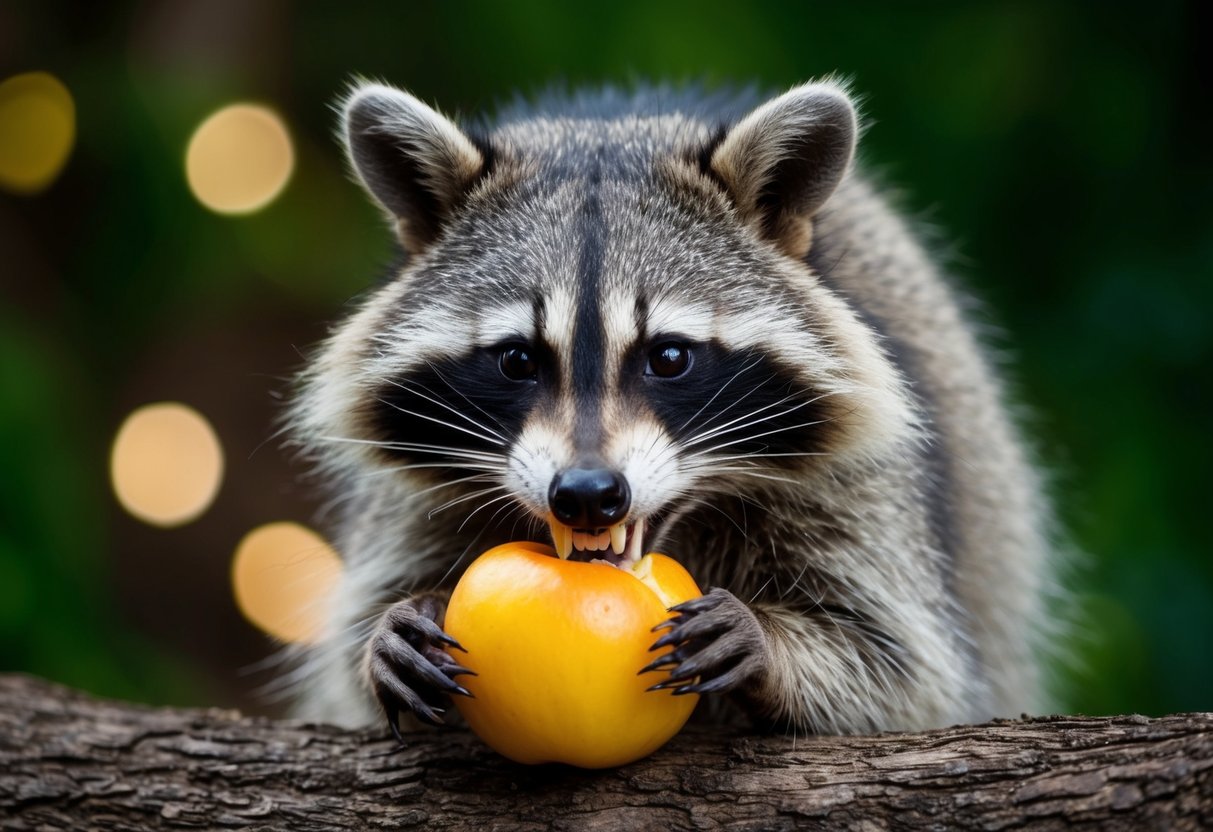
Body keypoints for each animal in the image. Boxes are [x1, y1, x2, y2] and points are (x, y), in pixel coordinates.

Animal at [286, 78, 1055, 737]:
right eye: (517, 361)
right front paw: (386, 634)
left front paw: (771, 646)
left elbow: (903, 670)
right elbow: (351, 660)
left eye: (669, 358)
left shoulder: (859, 487)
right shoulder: (407, 500)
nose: (587, 494)